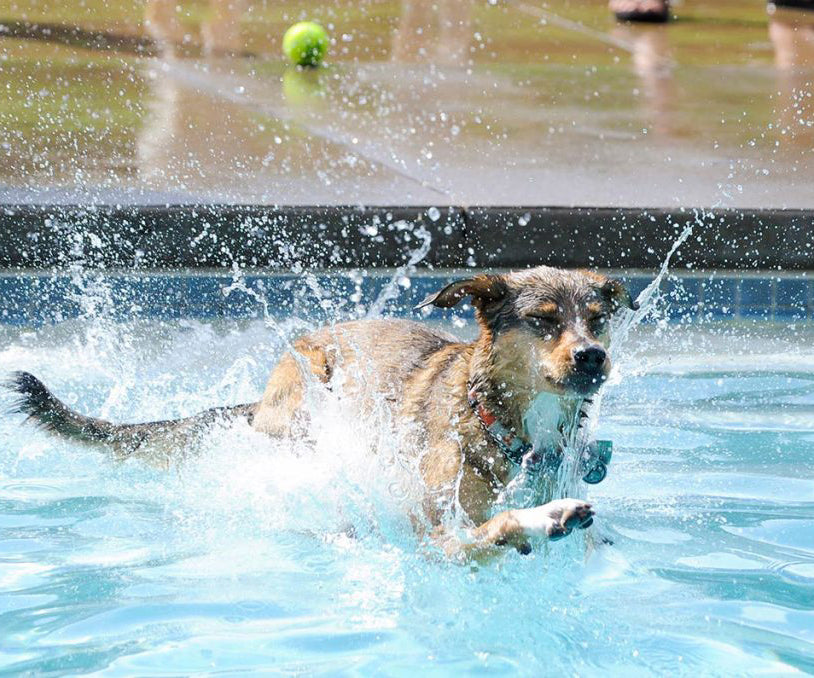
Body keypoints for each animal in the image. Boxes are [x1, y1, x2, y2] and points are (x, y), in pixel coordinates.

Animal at [9, 266, 640, 564]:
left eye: (598, 318)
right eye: (543, 320)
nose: (592, 356)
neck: (507, 424)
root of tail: (260, 402)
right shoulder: (435, 537)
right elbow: (495, 526)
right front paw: (547, 517)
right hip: (307, 401)